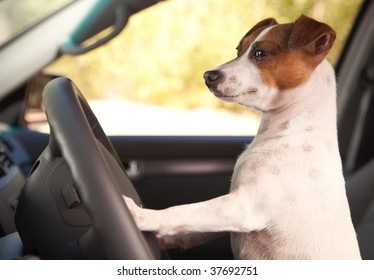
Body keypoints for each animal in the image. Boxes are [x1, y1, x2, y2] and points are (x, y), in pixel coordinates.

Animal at [124, 15, 360, 260]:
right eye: (239, 49)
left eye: (260, 53)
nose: (208, 76)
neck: (290, 130)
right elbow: (193, 227)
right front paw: (165, 240)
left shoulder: (244, 207)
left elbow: (183, 211)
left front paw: (142, 216)